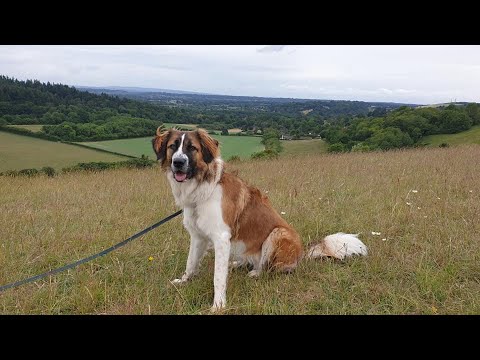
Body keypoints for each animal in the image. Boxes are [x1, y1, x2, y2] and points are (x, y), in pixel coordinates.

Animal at [154, 128, 368, 310]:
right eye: (173, 146)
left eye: (192, 148)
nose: (178, 162)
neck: (201, 187)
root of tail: (301, 253)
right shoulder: (198, 237)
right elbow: (190, 263)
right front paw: (183, 281)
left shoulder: (221, 237)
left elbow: (218, 278)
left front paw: (218, 305)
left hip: (278, 233)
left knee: (267, 267)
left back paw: (255, 272)